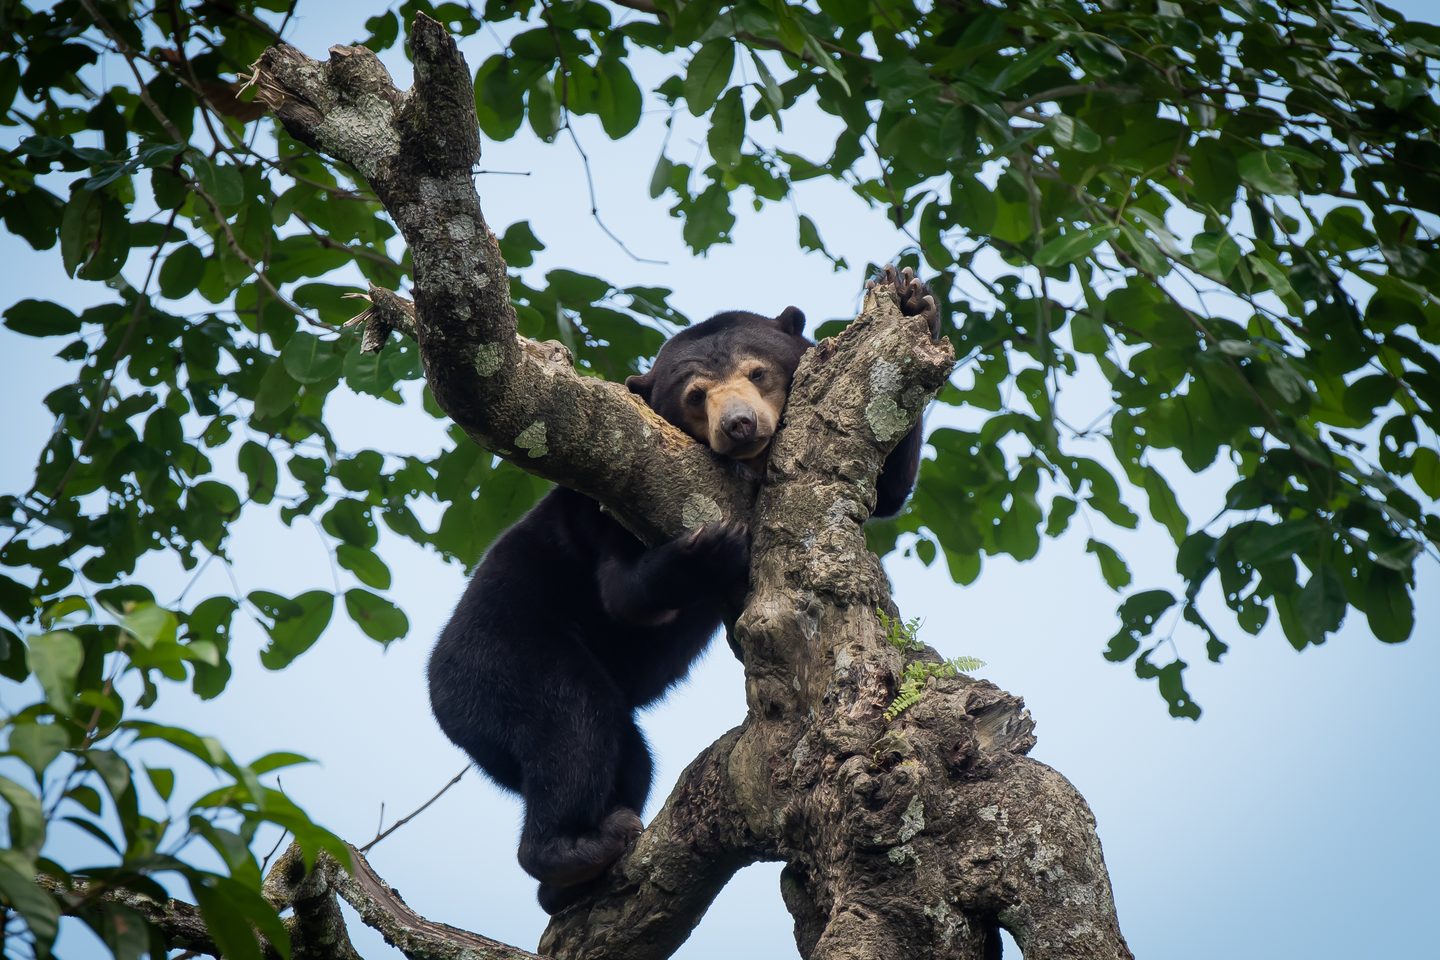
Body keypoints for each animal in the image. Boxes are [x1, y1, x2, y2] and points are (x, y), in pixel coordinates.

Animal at [427, 266, 939, 914]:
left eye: (757, 372)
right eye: (696, 395)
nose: (739, 425)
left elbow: (887, 490)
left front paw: (914, 298)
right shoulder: (605, 502)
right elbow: (623, 594)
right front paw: (715, 544)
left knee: (628, 754)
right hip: (500, 659)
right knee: (572, 721)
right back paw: (573, 851)